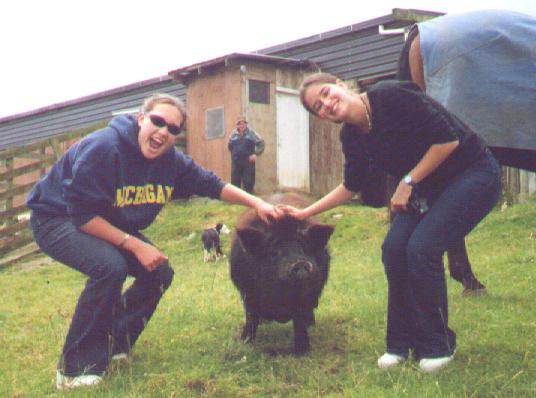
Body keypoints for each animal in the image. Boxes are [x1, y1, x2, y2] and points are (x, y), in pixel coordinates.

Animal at [230, 193, 336, 354]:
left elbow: (299, 321)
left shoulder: (306, 296)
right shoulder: (247, 292)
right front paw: (245, 342)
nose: (300, 263)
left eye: (304, 249)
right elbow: (251, 316)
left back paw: (311, 325)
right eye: (274, 252)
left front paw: (302, 351)